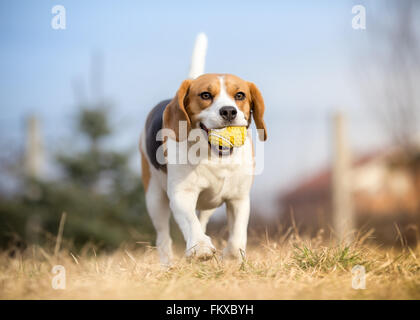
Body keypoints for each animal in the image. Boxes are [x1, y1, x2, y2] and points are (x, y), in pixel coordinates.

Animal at [139, 73, 268, 264]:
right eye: (205, 95)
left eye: (240, 95)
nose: (229, 111)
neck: (214, 157)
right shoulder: (182, 193)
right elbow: (190, 221)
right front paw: (200, 247)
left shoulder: (238, 198)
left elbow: (237, 235)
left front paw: (230, 258)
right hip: (154, 198)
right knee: (163, 237)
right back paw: (168, 263)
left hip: (209, 204)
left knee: (202, 220)